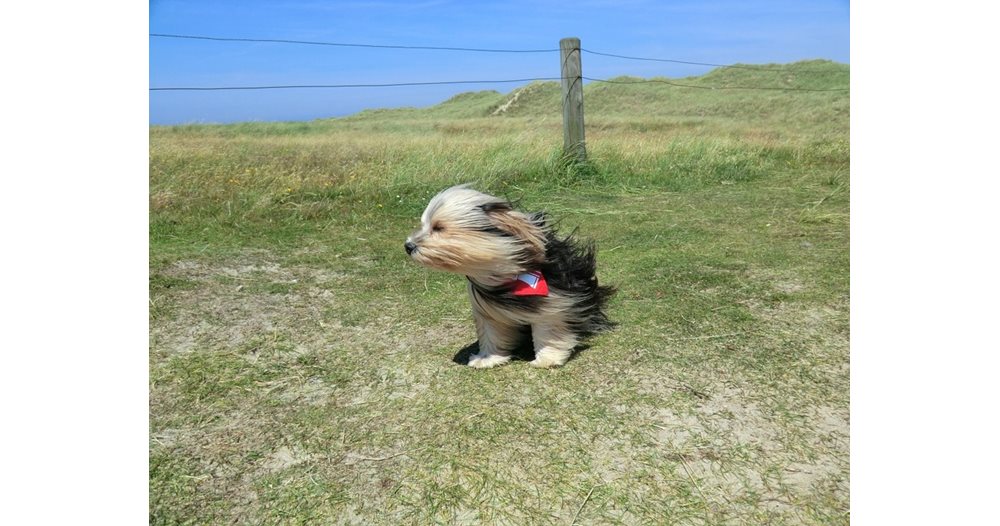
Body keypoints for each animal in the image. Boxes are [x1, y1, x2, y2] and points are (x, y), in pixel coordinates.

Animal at [404, 188, 608, 370]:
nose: (408, 246)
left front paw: (547, 358)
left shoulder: (555, 301)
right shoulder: (487, 310)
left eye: (439, 227)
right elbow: (491, 332)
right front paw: (488, 358)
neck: (504, 273)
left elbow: (548, 328)